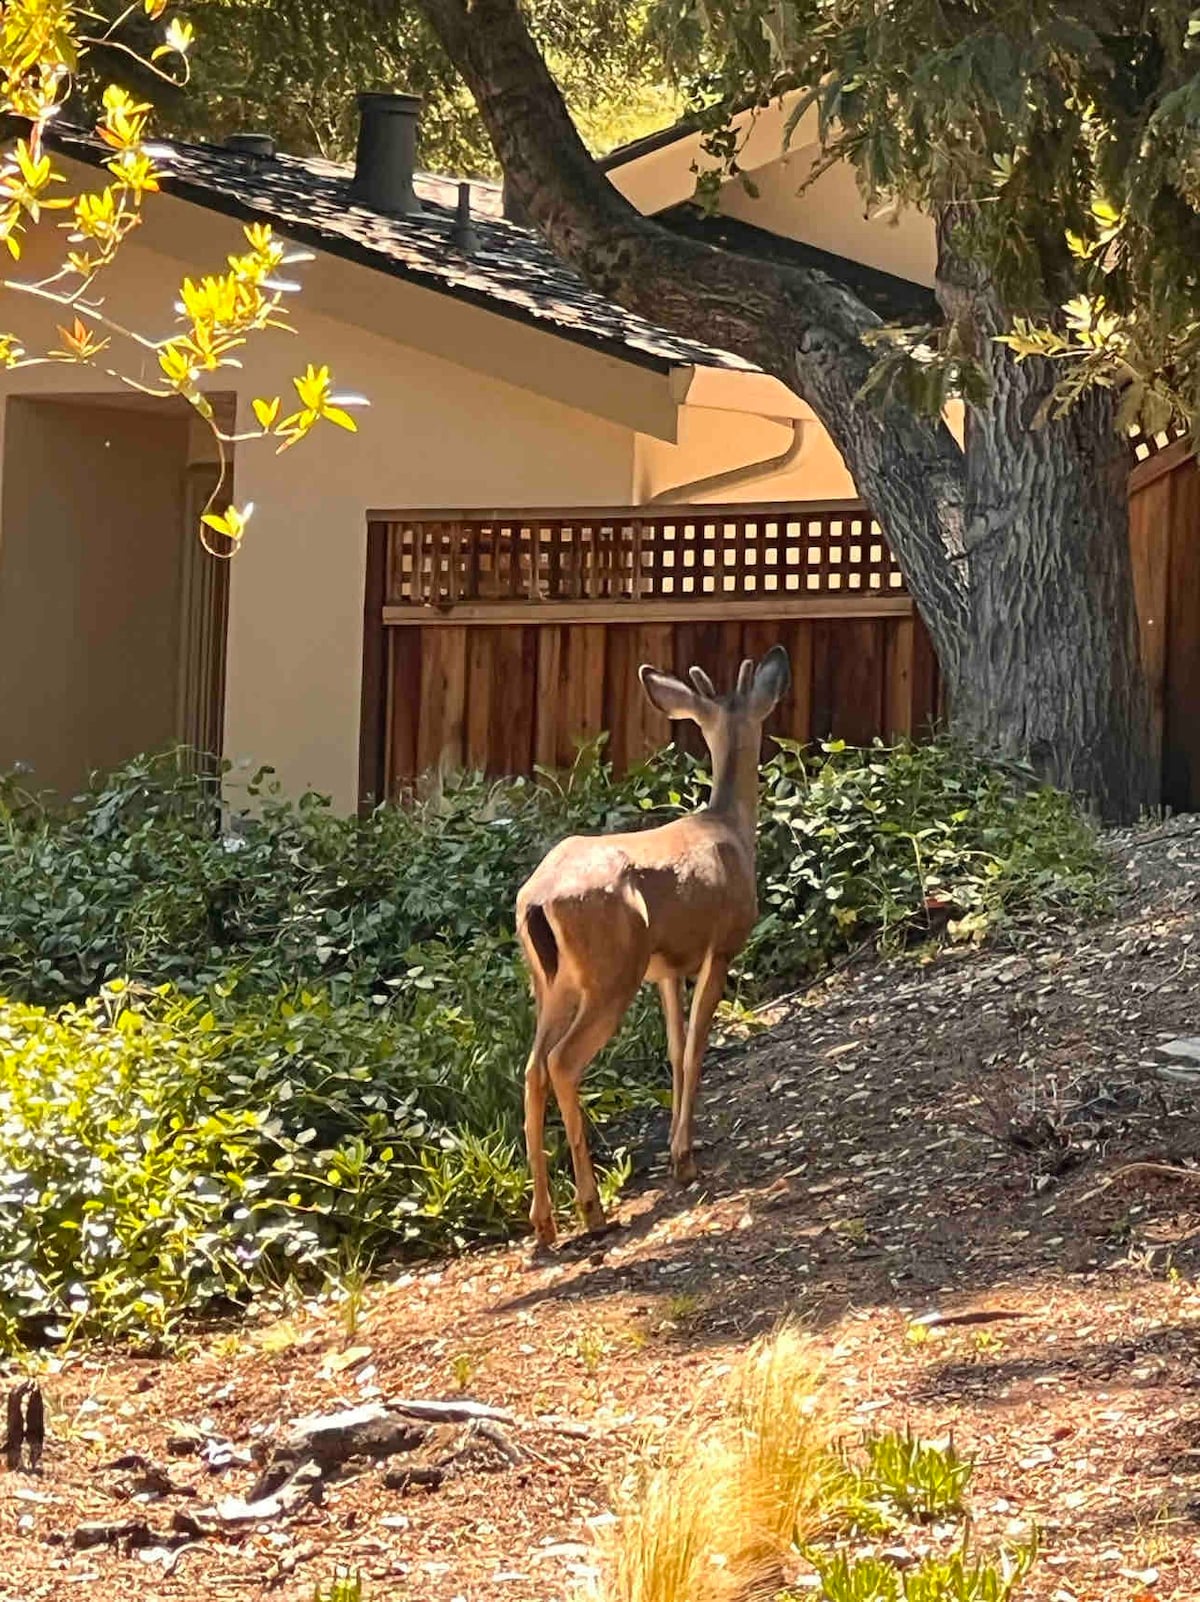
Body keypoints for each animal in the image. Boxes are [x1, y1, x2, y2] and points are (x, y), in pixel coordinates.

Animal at [512, 644, 785, 1243]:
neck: (728, 827)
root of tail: (537, 899)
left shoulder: (667, 969)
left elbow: (675, 1048)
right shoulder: (720, 947)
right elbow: (698, 1045)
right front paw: (683, 1158)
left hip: (550, 983)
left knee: (533, 1067)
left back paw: (543, 1222)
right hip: (611, 972)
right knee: (562, 1062)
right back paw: (591, 1211)